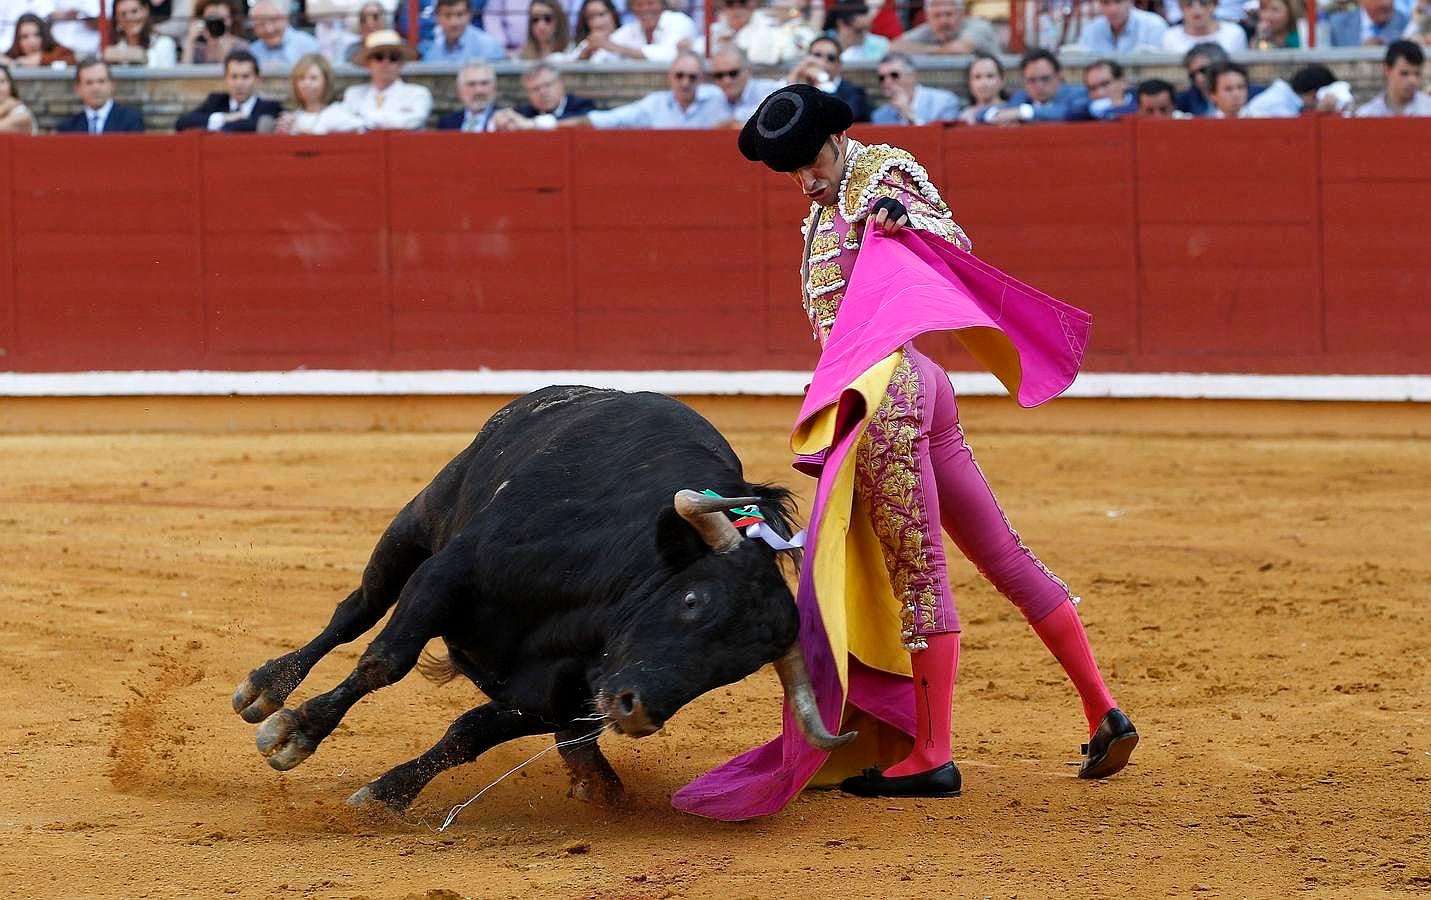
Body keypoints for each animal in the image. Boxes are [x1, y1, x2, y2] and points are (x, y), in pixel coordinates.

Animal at [227, 383, 841, 806]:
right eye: (692, 601)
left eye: (734, 671)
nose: (638, 711)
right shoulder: (446, 576)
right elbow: (385, 661)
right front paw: (295, 733)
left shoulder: (554, 697)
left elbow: (466, 736)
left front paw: (388, 796)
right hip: (415, 523)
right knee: (355, 613)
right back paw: (265, 689)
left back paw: (595, 777)